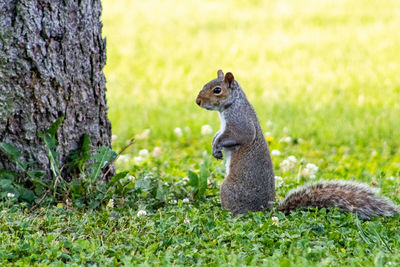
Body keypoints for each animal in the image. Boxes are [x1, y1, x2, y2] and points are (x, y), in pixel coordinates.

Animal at [195, 70, 398, 220]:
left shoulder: (240, 123)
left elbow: (235, 136)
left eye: (217, 90)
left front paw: (217, 147)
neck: (231, 105)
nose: (198, 101)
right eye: (205, 84)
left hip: (227, 189)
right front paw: (214, 145)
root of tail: (266, 212)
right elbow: (218, 134)